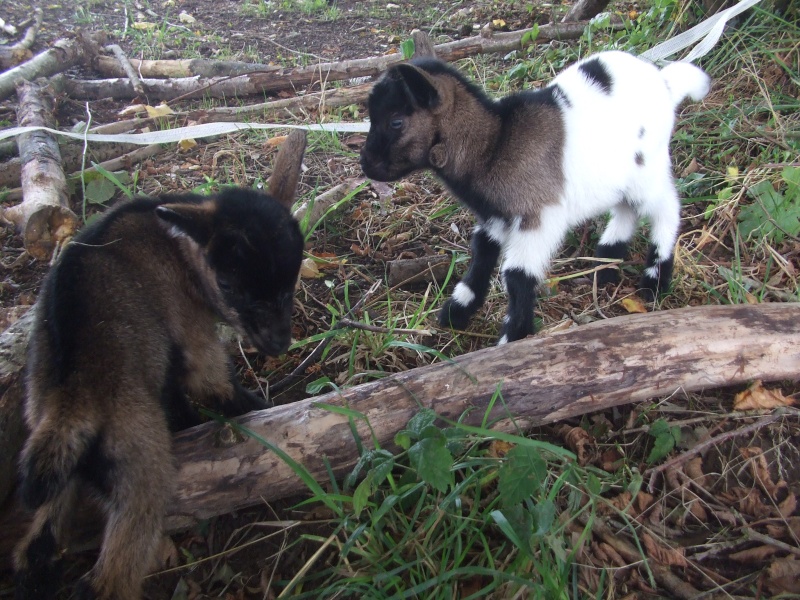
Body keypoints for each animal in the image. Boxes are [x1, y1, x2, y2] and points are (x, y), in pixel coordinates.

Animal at [15, 129, 310, 596]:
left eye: (291, 279)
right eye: (228, 284)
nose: (279, 343)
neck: (173, 245)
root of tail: (71, 402)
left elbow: (178, 397)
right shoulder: (187, 322)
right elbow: (213, 382)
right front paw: (267, 409)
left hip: (56, 461)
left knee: (35, 546)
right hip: (140, 463)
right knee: (112, 575)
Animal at [360, 52, 708, 342]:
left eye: (396, 121)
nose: (366, 165)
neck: (495, 147)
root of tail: (664, 81)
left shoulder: (538, 215)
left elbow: (517, 275)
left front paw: (513, 338)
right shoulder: (496, 216)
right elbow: (482, 254)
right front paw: (457, 311)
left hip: (648, 168)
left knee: (667, 207)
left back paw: (655, 279)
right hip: (621, 176)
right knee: (627, 209)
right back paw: (606, 263)